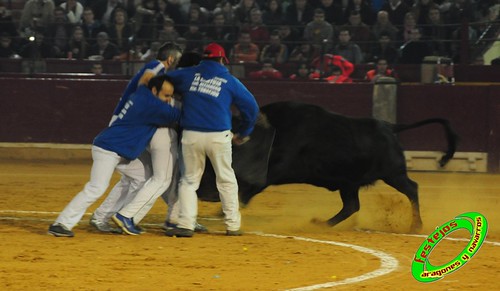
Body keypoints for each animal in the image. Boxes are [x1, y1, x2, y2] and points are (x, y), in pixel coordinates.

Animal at [194, 100, 458, 233]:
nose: (203, 193)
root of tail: (390, 126)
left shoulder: (274, 169)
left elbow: (250, 186)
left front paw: (225, 209)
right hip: (350, 183)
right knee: (352, 206)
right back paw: (322, 224)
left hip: (393, 173)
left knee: (412, 189)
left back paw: (416, 225)